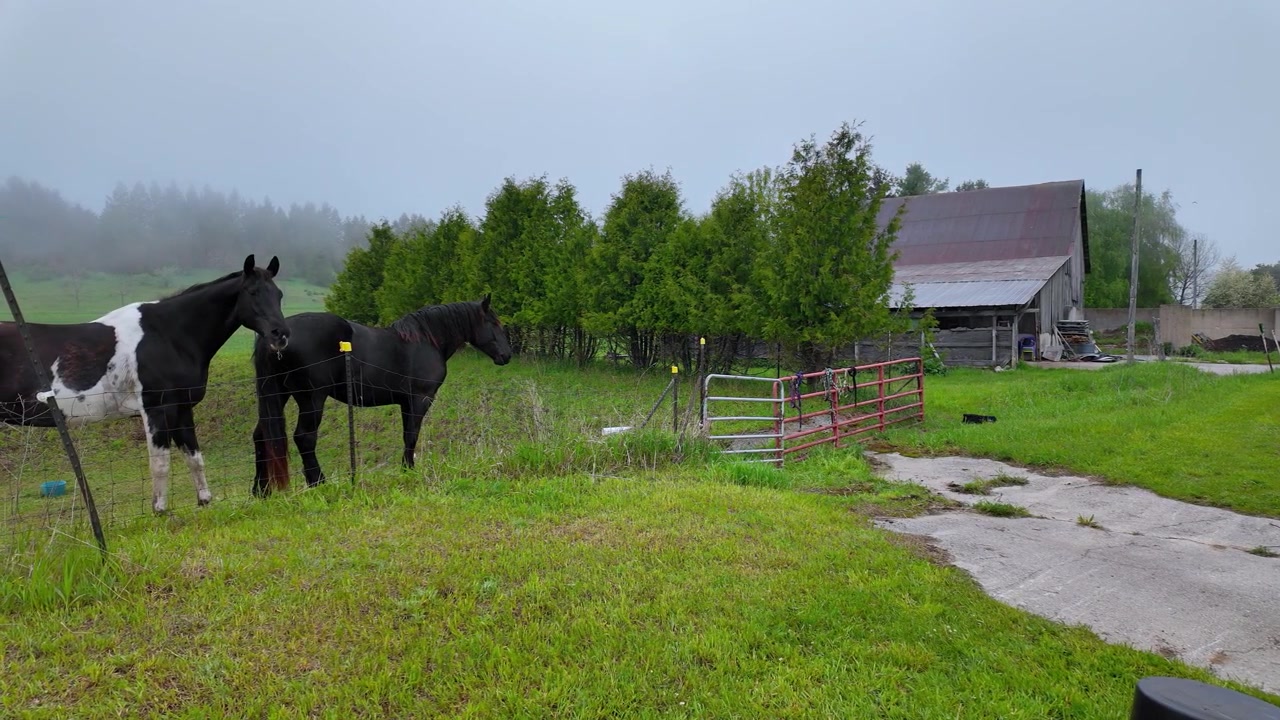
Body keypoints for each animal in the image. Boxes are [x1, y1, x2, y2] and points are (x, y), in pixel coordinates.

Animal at [0, 254, 291, 513]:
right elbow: (160, 464)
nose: (281, 335)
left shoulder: (182, 408)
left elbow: (195, 458)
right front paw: (159, 511)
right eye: (252, 292)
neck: (167, 335)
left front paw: (204, 503)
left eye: (279, 294)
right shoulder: (156, 409)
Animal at [250, 295, 512, 497]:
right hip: (312, 398)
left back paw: (261, 491)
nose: (507, 355)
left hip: (278, 394)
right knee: (304, 438)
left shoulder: (406, 402)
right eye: (494, 323)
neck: (425, 341)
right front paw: (409, 471)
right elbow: (412, 436)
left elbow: (407, 435)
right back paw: (319, 484)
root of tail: (276, 336)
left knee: (262, 436)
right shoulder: (420, 400)